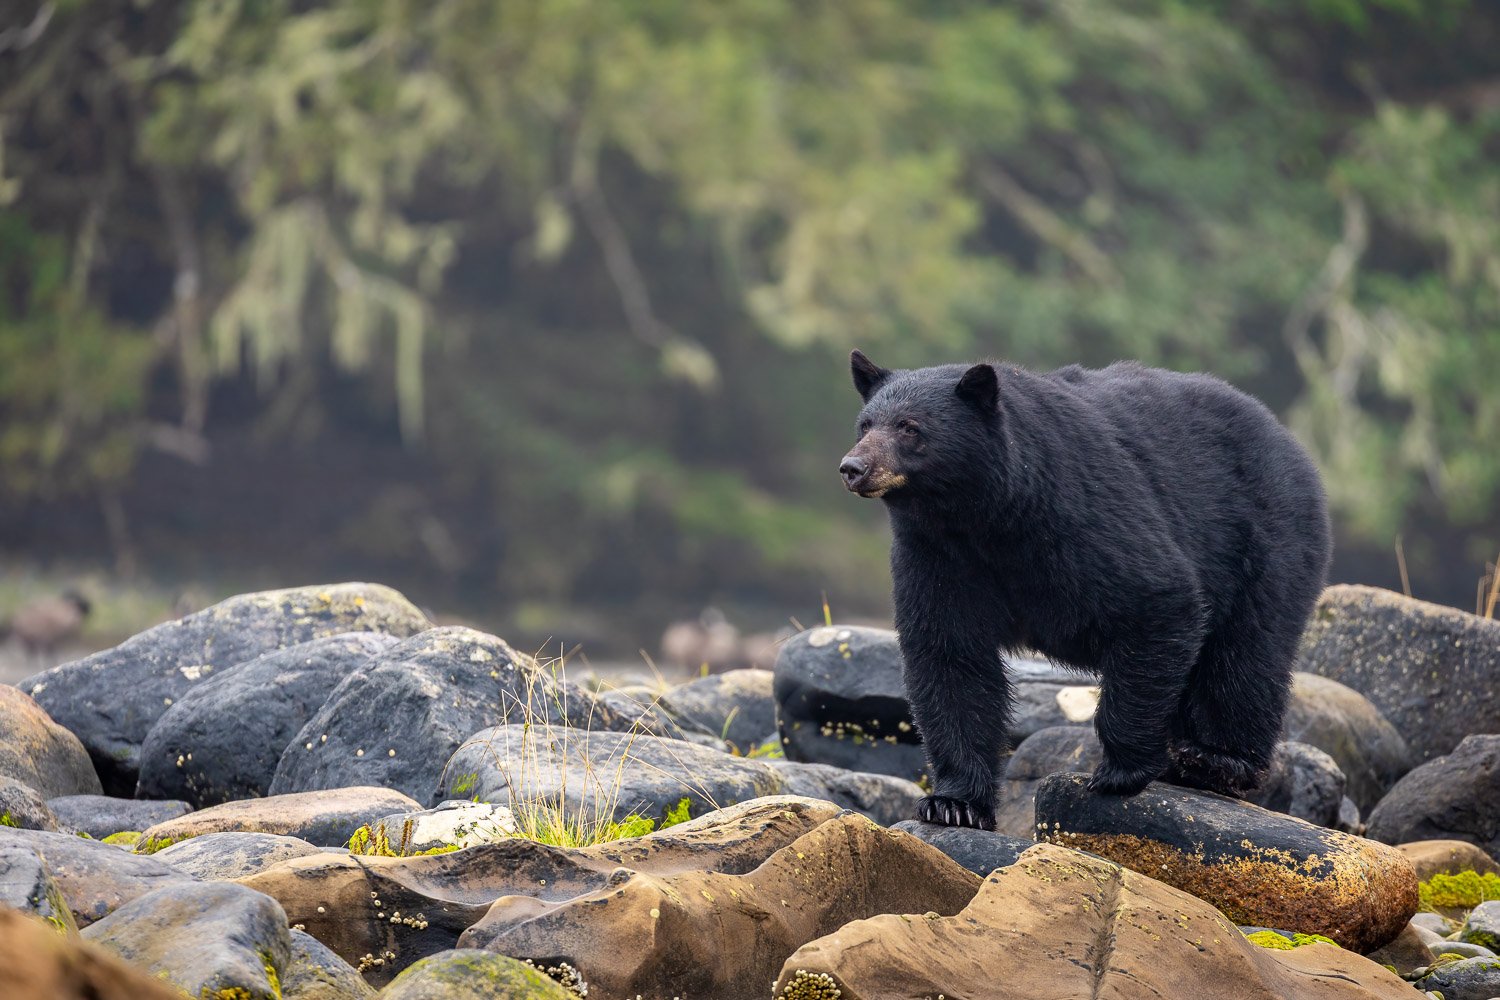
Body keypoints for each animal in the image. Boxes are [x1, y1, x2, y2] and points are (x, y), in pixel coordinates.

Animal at [839, 350, 1332, 830]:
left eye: (910, 427)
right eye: (865, 423)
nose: (853, 468)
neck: (986, 516)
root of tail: (1286, 438)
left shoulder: (1081, 514)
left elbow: (1157, 600)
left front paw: (1121, 771)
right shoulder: (938, 555)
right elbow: (949, 654)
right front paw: (954, 804)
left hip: (1266, 537)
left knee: (1245, 656)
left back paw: (1215, 759)